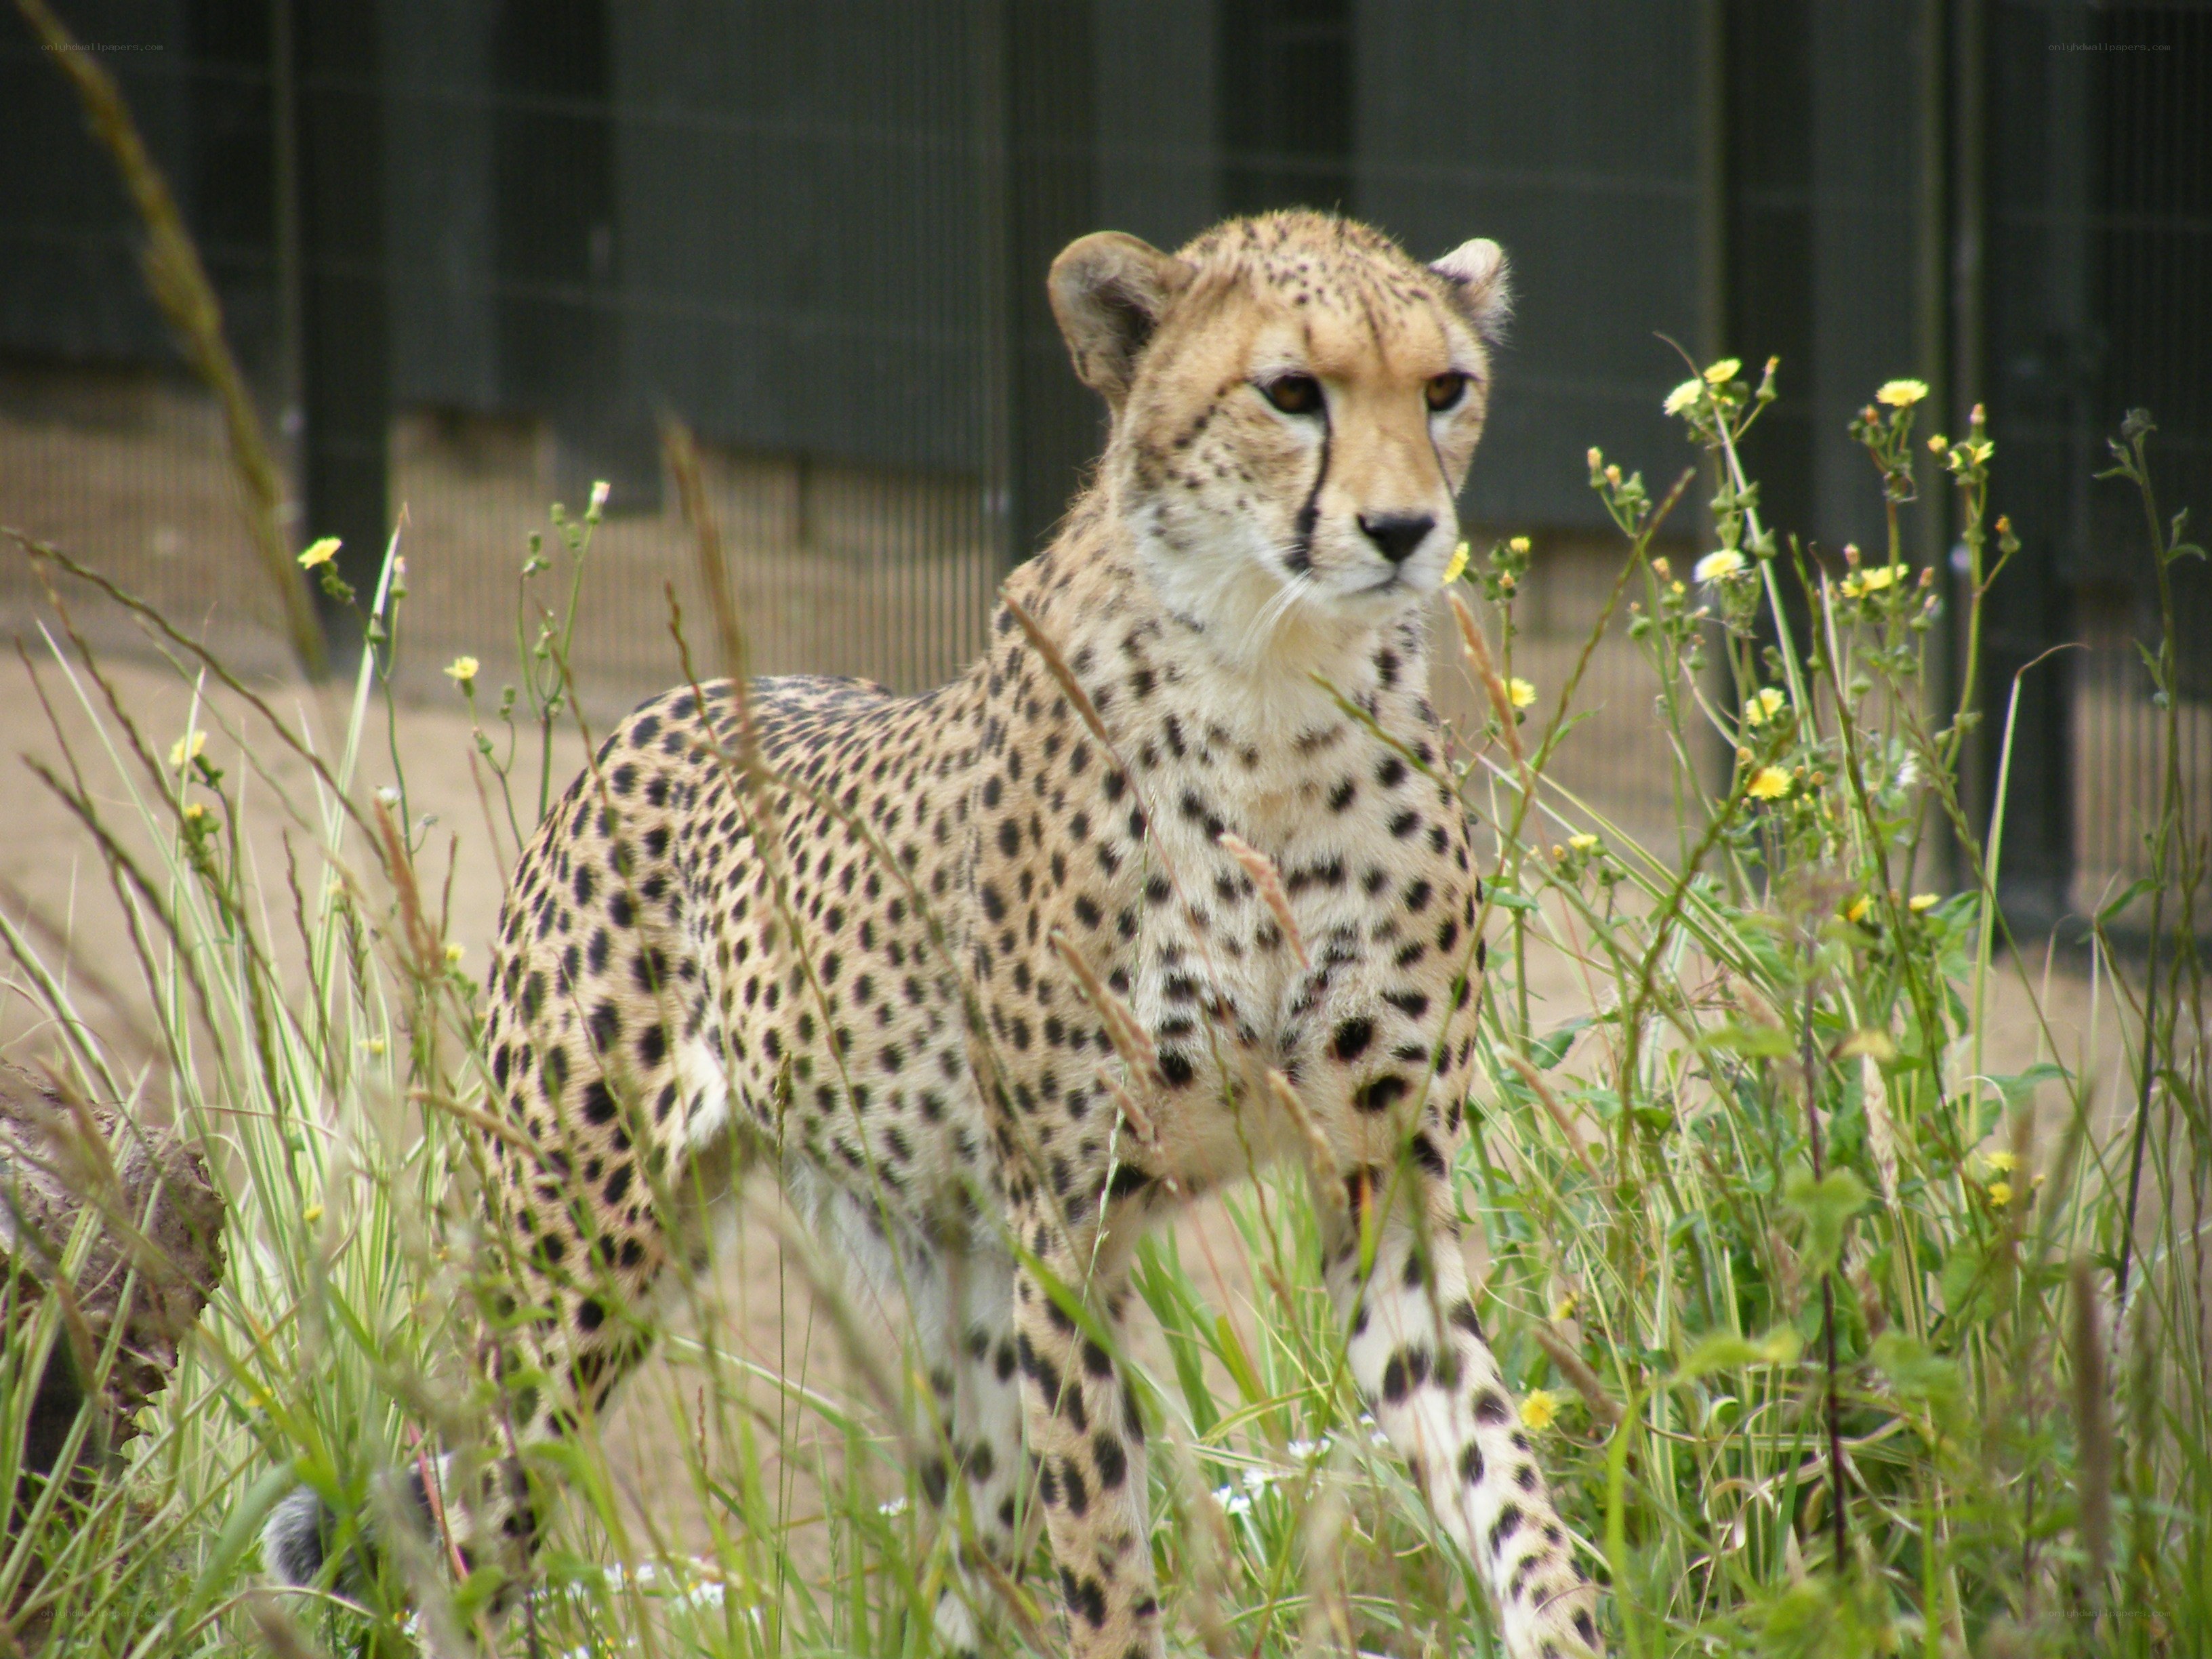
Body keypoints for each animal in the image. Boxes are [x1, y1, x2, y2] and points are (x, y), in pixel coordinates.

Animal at [264, 210, 1604, 1659]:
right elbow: (1104, 1551)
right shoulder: (1068, 1223)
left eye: (1444, 388)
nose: (1404, 526)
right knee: (470, 1527)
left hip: (951, 1283)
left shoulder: (1380, 1188)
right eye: (1290, 391)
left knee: (961, 1555)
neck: (1277, 688)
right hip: (576, 1253)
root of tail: (675, 700)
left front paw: (1553, 1615)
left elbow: (1506, 1486)